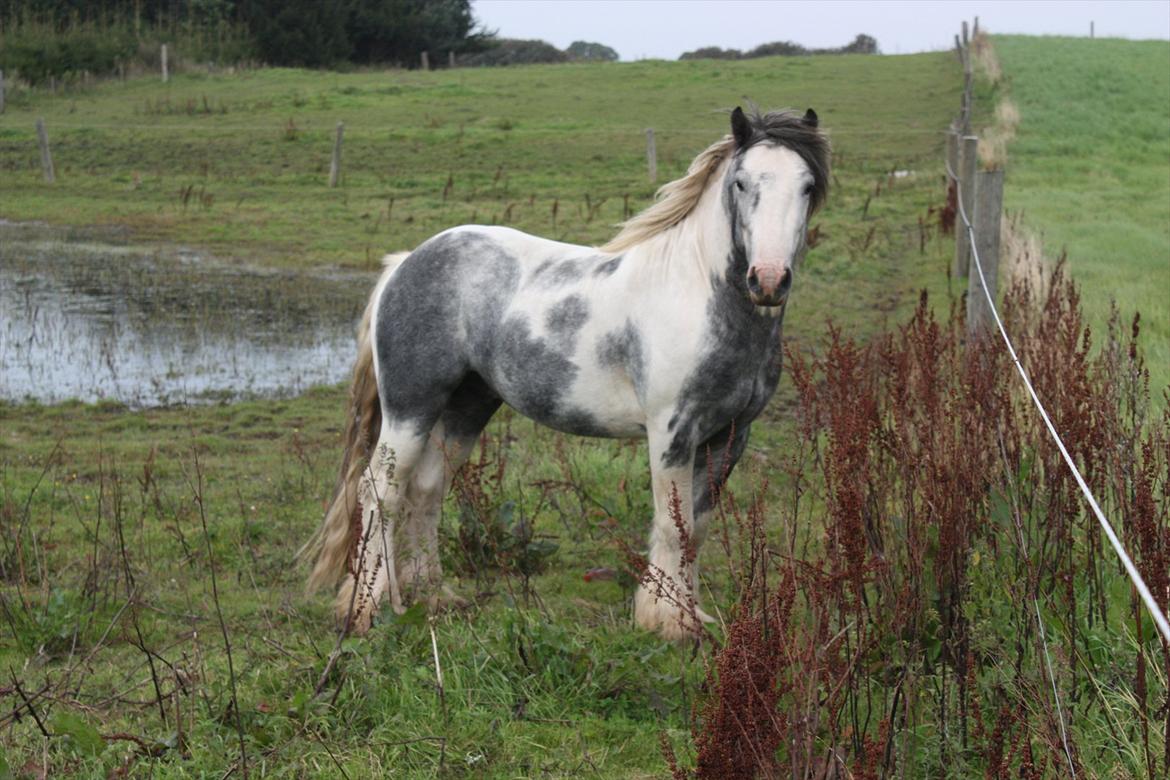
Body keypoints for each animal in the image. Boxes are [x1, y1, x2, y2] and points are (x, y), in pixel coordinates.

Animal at [304, 105, 833, 640]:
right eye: (742, 183)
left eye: (808, 185)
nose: (769, 280)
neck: (697, 296)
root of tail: (404, 263)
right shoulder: (672, 430)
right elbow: (672, 523)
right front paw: (666, 621)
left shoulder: (731, 434)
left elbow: (696, 528)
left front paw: (692, 615)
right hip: (411, 406)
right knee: (381, 490)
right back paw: (367, 608)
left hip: (467, 406)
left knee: (426, 489)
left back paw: (432, 595)